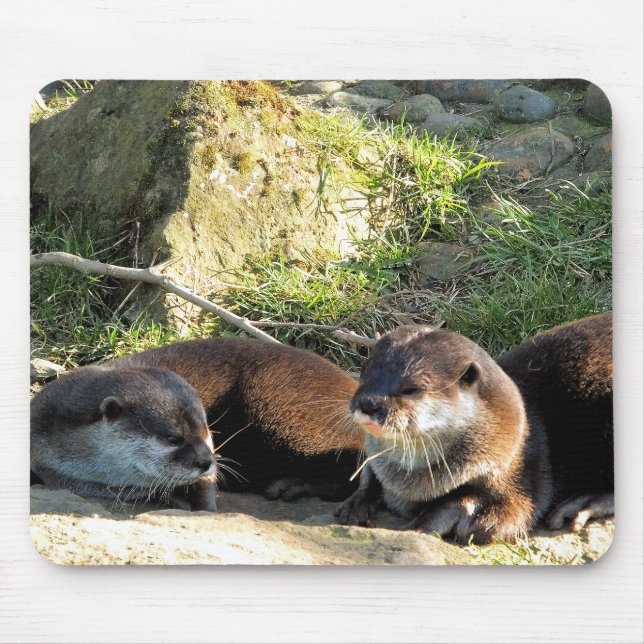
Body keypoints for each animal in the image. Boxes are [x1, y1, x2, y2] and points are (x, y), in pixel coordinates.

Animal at [335, 314, 612, 544]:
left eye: (411, 388)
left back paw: (584, 503)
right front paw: (357, 501)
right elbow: (369, 475)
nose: (369, 403)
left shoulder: (523, 473)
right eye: (364, 373)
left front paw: (428, 522)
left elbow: (508, 518)